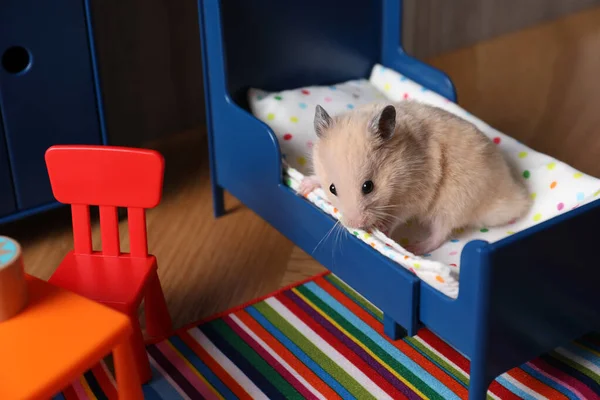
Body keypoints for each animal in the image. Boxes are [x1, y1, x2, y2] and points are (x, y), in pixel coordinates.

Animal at [298, 101, 532, 255]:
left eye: (368, 186)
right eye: (332, 189)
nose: (356, 225)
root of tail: (513, 194)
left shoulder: (415, 195)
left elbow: (398, 216)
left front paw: (383, 229)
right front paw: (304, 186)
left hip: (455, 202)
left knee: (440, 233)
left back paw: (415, 249)